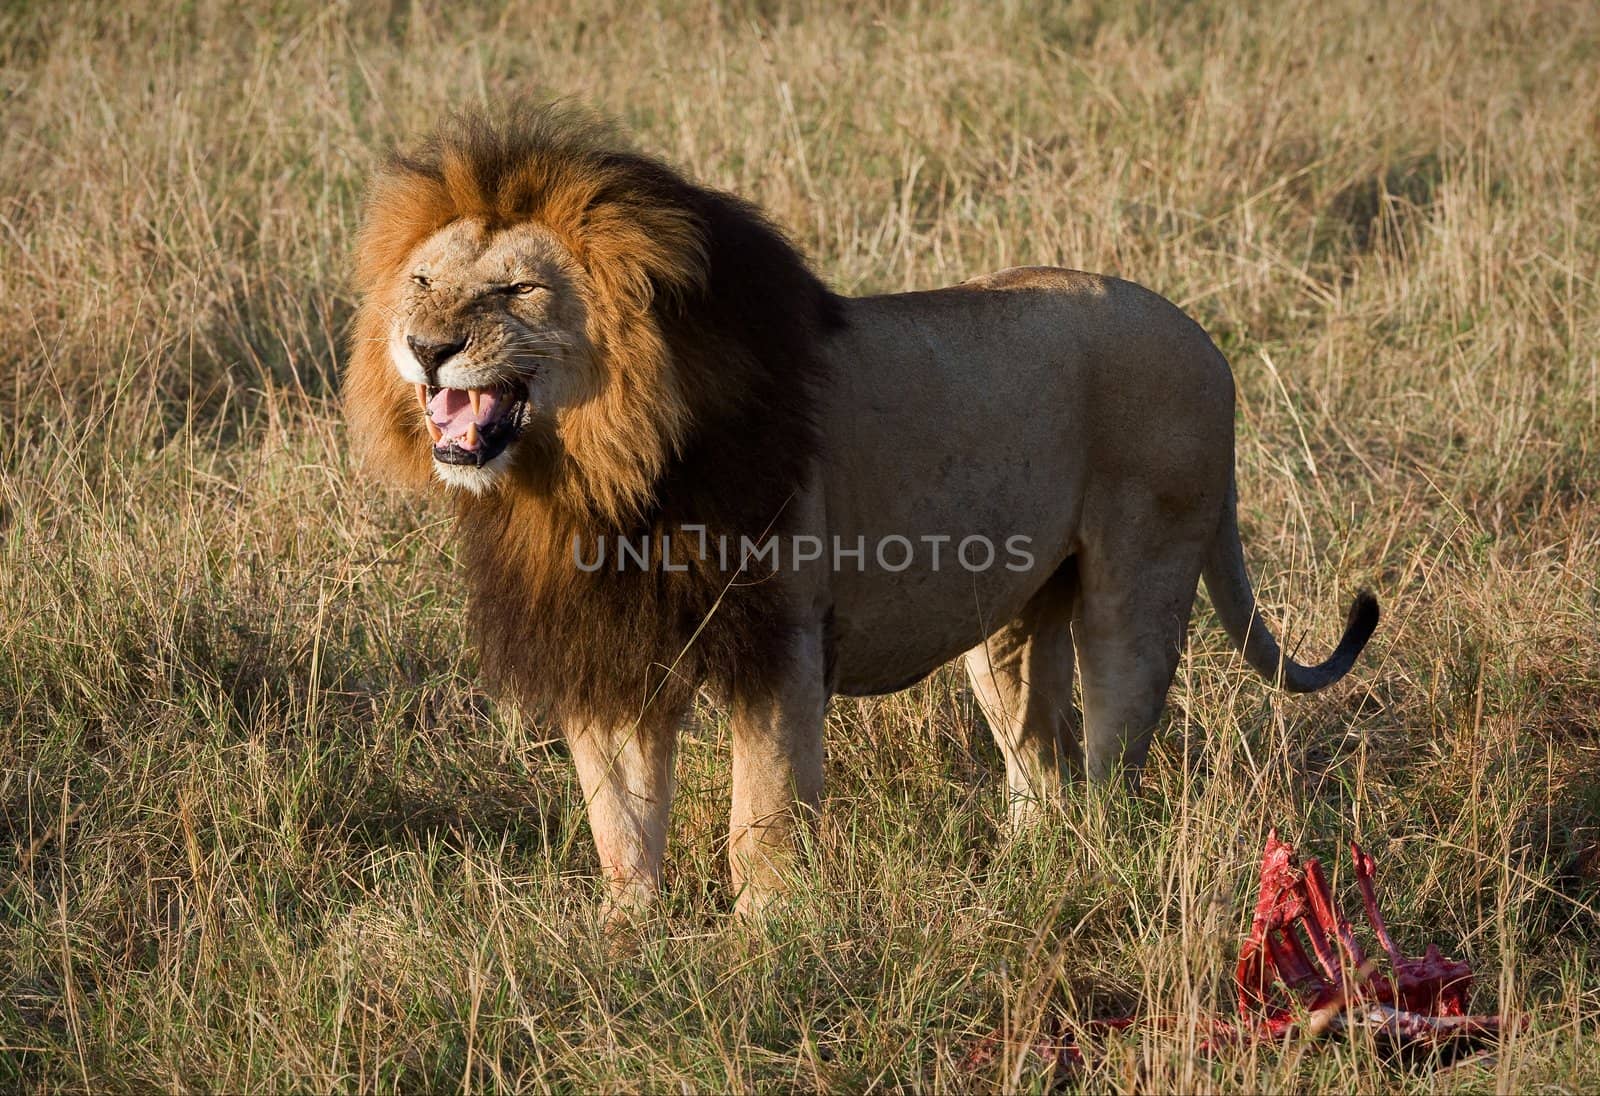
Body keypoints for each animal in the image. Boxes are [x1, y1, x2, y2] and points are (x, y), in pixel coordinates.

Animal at [344, 108, 1382, 915]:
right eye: (425, 282)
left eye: (518, 288)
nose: (425, 346)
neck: (592, 478)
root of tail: (1205, 341)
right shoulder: (609, 645)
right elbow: (622, 820)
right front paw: (626, 941)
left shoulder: (781, 635)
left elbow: (761, 818)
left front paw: (767, 941)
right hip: (1008, 620)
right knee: (1038, 763)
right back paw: (1021, 883)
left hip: (1140, 580)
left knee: (1109, 753)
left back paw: (1091, 873)